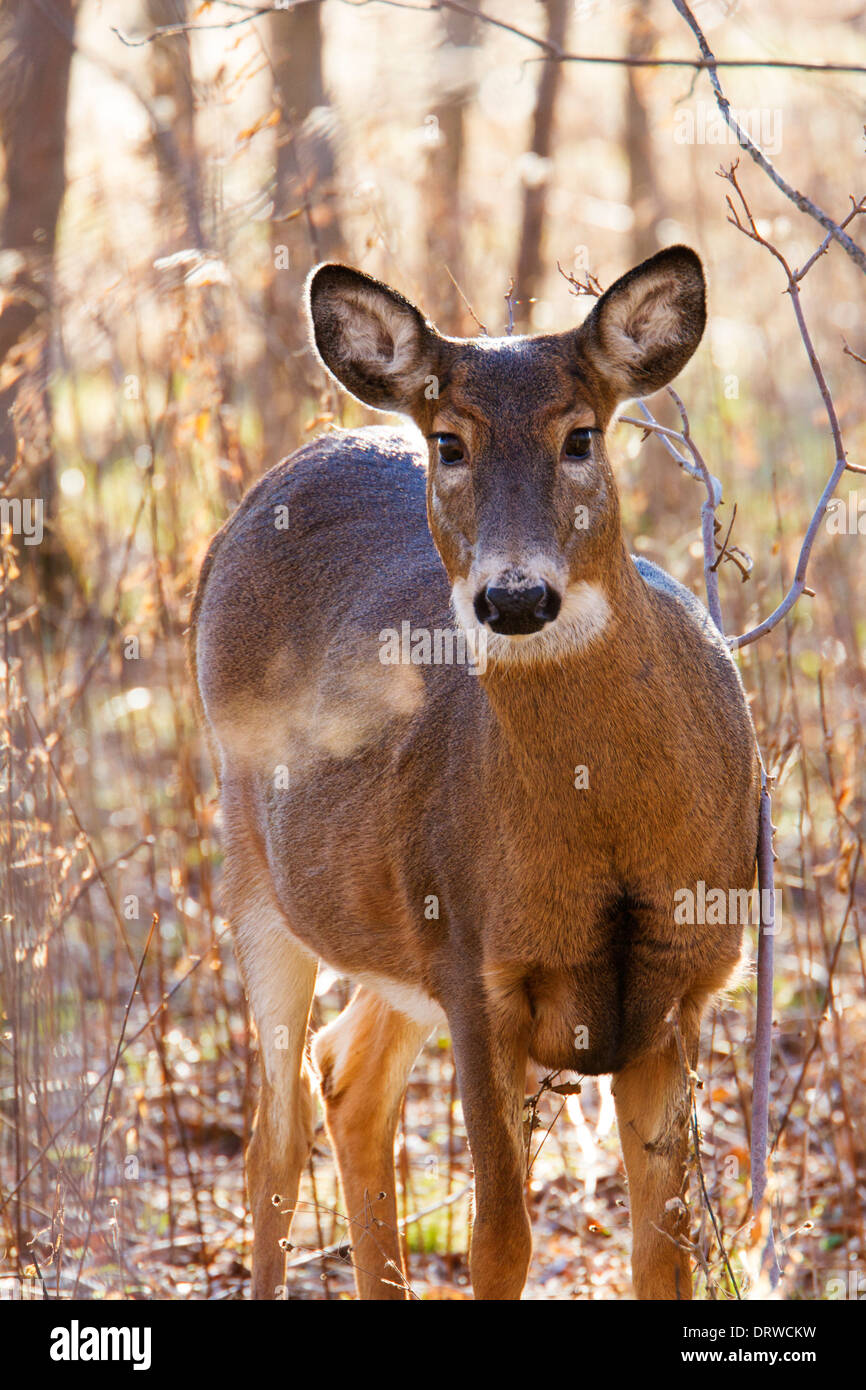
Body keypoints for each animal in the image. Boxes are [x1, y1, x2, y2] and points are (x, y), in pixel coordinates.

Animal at [189, 244, 761, 1301]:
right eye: (451, 444)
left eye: (581, 435)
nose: (517, 596)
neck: (606, 828)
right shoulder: (474, 968)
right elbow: (502, 1239)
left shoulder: (684, 984)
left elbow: (666, 1253)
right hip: (253, 865)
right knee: (274, 1139)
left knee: (348, 1079)